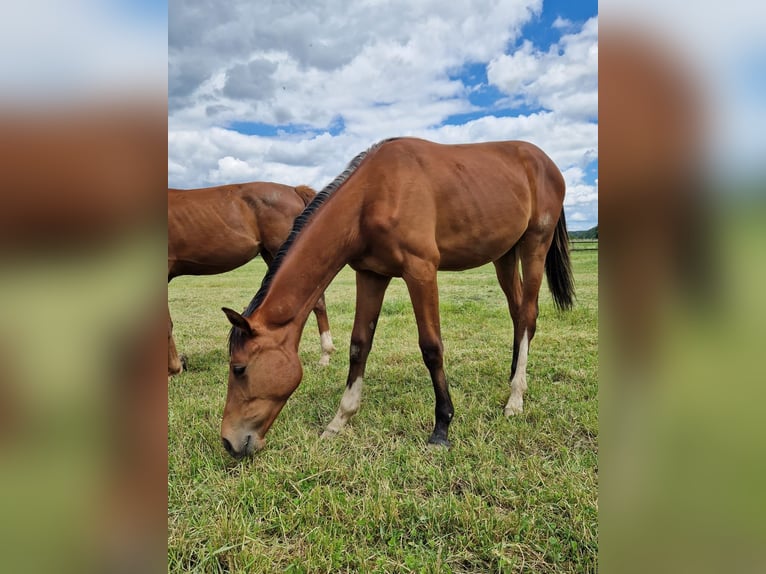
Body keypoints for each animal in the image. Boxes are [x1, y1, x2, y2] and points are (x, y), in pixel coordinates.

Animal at [219, 140, 572, 460]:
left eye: (239, 368)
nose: (228, 442)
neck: (372, 195)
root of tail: (545, 162)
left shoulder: (421, 271)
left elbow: (431, 347)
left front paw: (441, 428)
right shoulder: (371, 275)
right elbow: (359, 345)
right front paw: (339, 421)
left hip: (535, 245)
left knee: (527, 314)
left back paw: (515, 397)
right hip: (504, 255)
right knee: (517, 313)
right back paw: (513, 377)